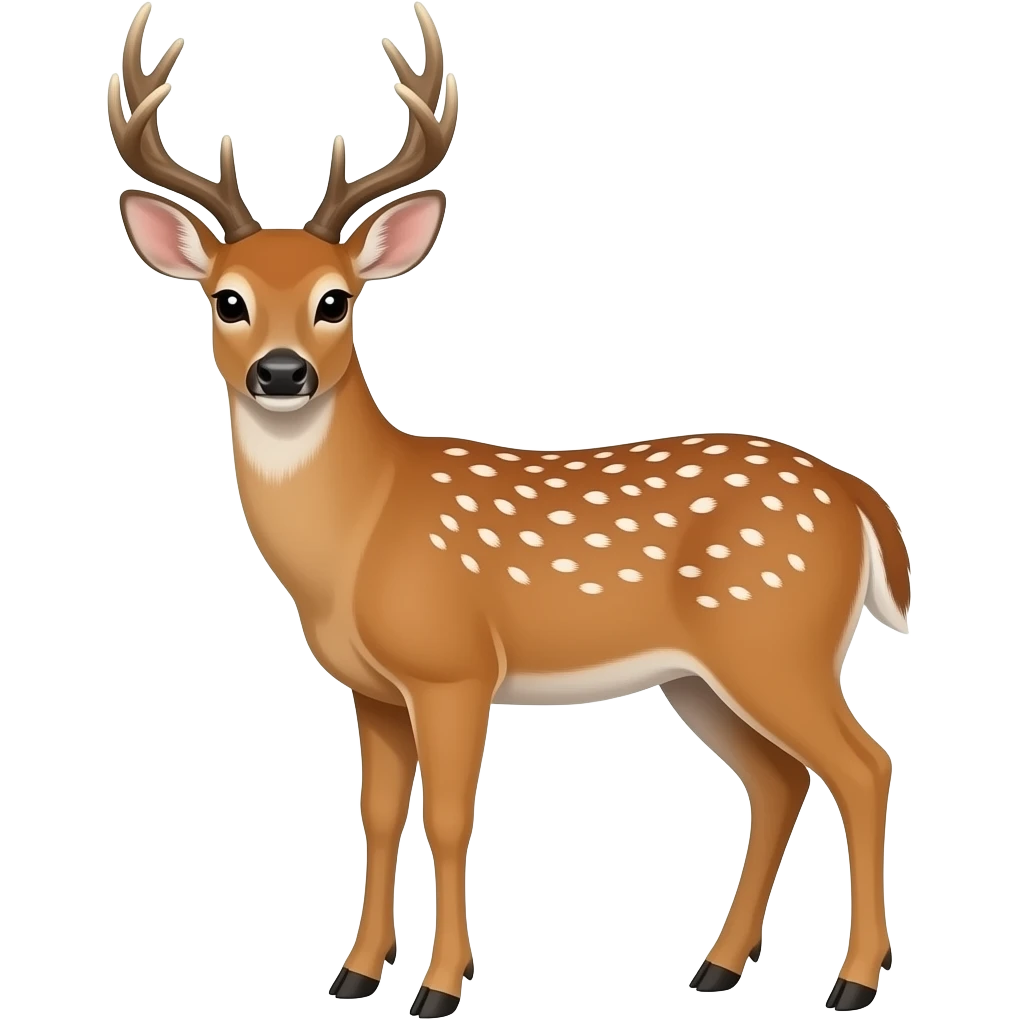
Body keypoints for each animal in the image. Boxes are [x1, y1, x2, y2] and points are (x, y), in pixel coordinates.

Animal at [108, 3, 909, 1015]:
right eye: (227, 301)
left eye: (337, 300)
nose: (281, 374)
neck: (359, 536)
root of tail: (857, 496)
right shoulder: (373, 687)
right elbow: (378, 816)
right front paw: (355, 972)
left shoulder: (454, 666)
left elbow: (450, 819)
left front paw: (441, 986)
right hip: (702, 674)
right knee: (779, 780)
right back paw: (717, 966)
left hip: (779, 639)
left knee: (863, 766)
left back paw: (853, 980)